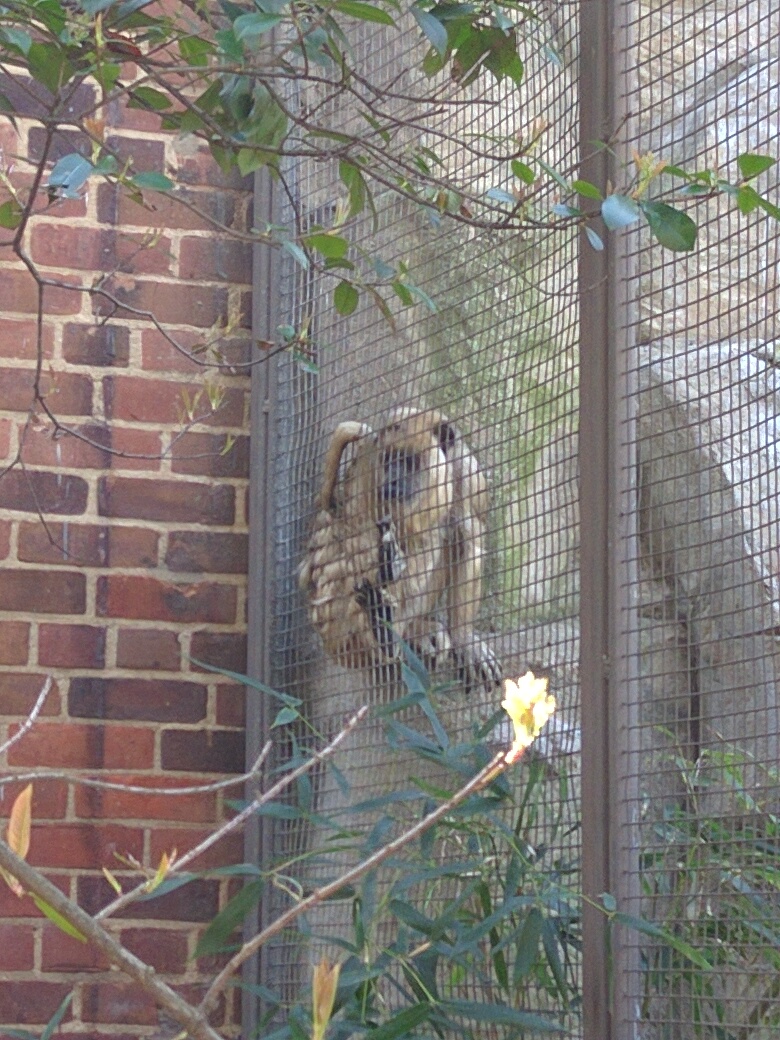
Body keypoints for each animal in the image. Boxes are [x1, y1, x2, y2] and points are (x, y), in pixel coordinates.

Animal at [298, 407, 502, 690]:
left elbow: (470, 542)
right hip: (335, 622)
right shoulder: (369, 461)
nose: (392, 480)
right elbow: (348, 527)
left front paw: (465, 640)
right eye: (388, 460)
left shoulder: (468, 475)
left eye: (406, 461)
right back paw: (383, 629)